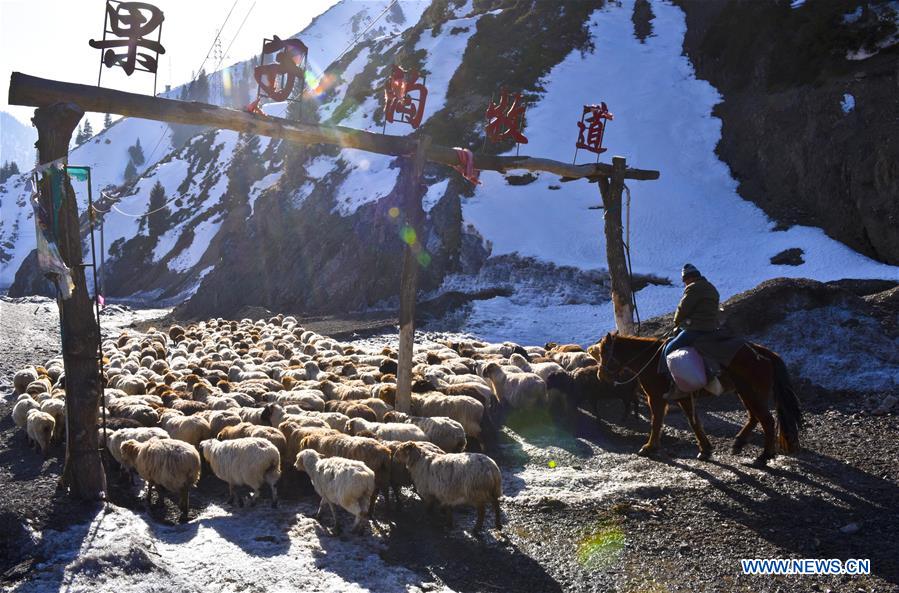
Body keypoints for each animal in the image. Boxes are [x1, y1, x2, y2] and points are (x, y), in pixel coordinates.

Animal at [588, 330, 804, 464]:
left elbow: (656, 422)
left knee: (766, 420)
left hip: (752, 393)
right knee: (754, 417)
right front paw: (705, 449)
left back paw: (764, 456)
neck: (651, 360)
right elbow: (694, 422)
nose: (601, 375)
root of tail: (762, 352)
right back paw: (739, 443)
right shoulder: (683, 397)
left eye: (604, 353)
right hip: (745, 393)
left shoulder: (656, 398)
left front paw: (649, 447)